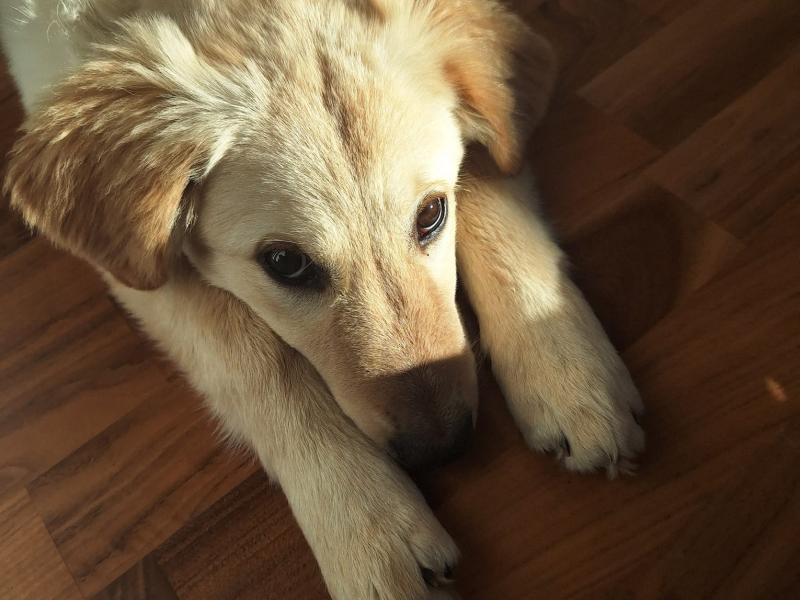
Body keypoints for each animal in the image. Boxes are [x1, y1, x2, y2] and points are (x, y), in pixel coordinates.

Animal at [1, 1, 645, 597]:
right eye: (285, 263)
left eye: (432, 215)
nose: (444, 446)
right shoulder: (144, 267)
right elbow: (256, 359)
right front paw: (365, 522)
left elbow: (490, 186)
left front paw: (567, 370)